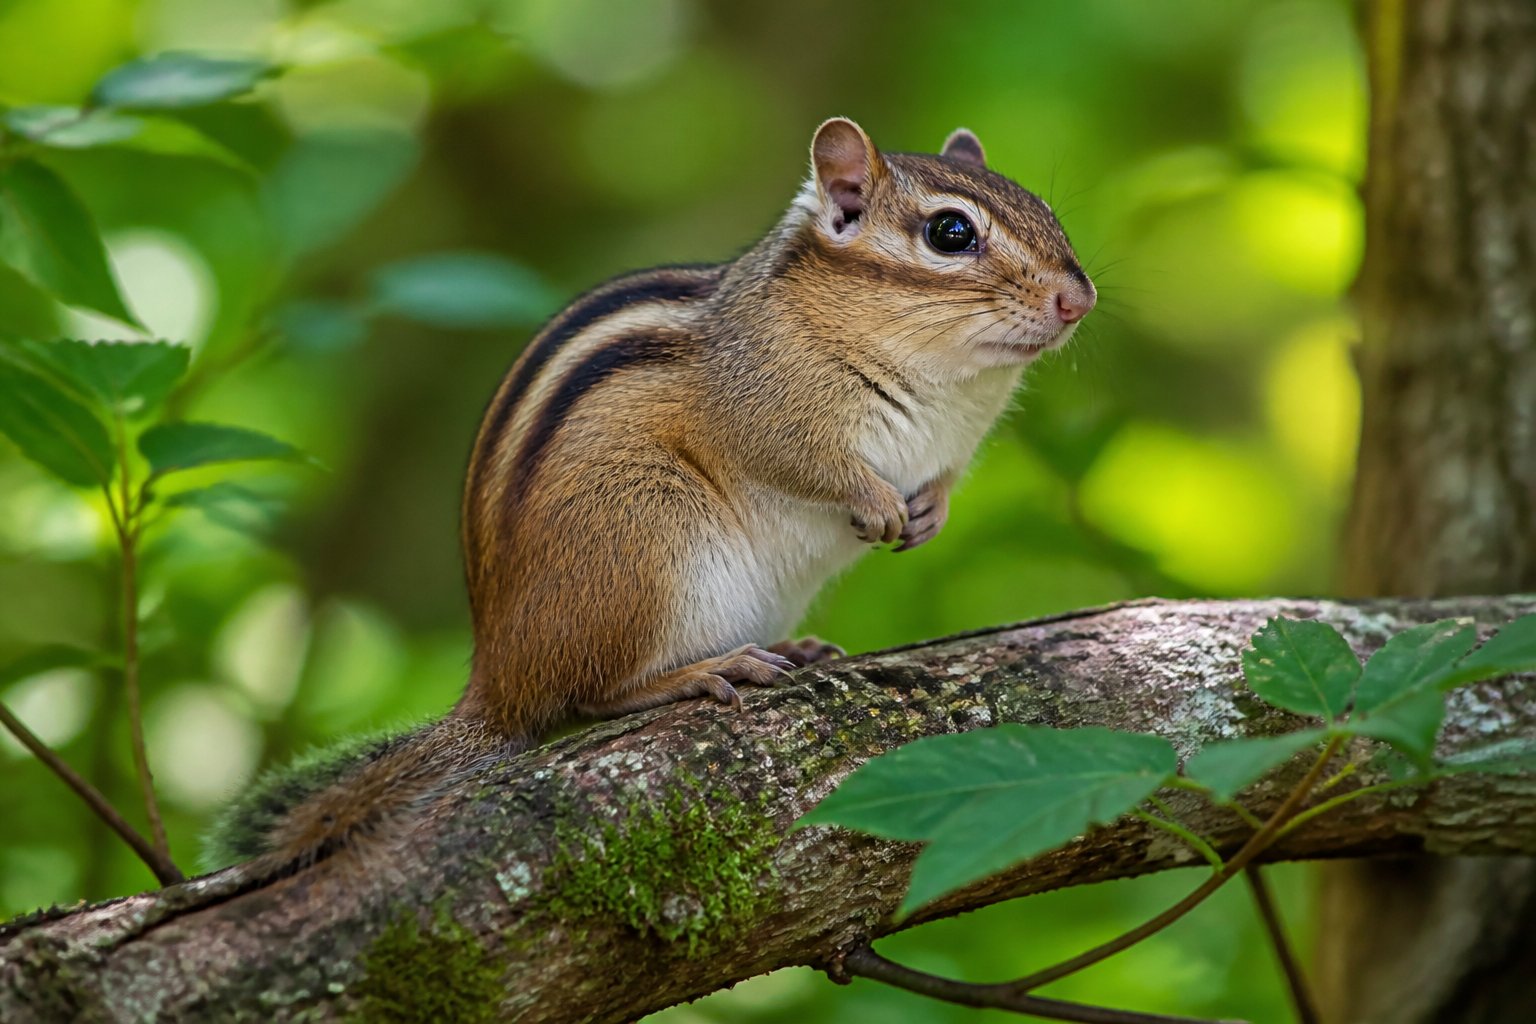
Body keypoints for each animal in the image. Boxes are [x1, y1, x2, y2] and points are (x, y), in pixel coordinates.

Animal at [207, 117, 1095, 872]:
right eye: (952, 233)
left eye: (1049, 211)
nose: (1078, 300)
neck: (949, 382)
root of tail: (499, 682)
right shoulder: (764, 410)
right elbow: (806, 464)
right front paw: (875, 502)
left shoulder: (954, 444)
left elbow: (941, 479)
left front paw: (927, 513)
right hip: (648, 539)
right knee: (591, 695)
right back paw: (699, 672)